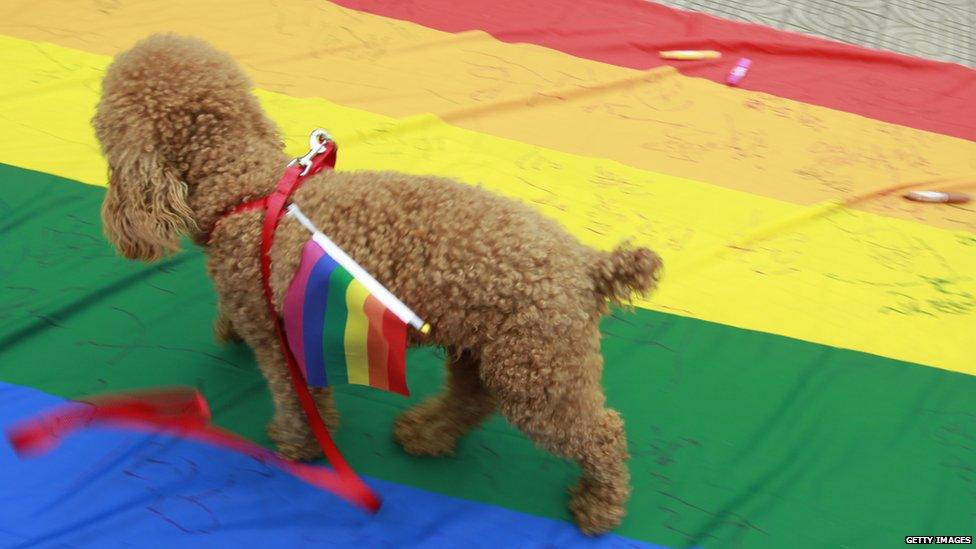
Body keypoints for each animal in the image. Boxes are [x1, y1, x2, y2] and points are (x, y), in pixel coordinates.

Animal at [93, 33, 664, 532]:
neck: (248, 192)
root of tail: (589, 265)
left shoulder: (281, 346)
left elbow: (296, 401)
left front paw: (294, 444)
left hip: (539, 373)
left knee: (602, 435)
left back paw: (599, 505)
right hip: (486, 350)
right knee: (472, 398)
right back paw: (427, 433)